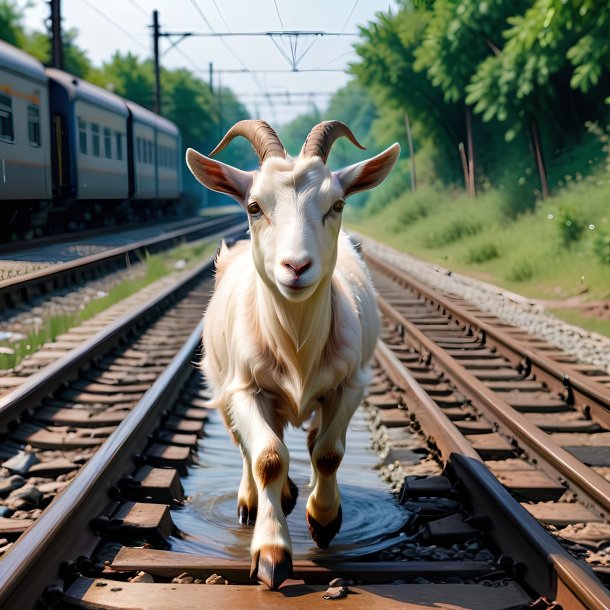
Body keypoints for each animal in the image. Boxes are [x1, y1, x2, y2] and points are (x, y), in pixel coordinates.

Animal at [188, 120, 402, 588]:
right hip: (223, 385)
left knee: (309, 439)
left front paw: (323, 520)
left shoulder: (350, 383)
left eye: (336, 204)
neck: (296, 345)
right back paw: (253, 503)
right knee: (248, 447)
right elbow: (267, 457)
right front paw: (271, 553)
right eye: (253, 206)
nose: (296, 267)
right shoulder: (245, 388)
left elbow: (328, 453)